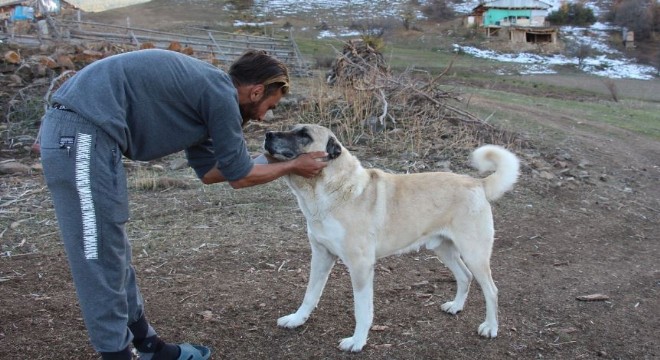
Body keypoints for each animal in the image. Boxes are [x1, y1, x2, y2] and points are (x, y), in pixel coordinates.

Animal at [264, 124, 520, 352]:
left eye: (304, 135)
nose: (267, 135)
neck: (329, 190)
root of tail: (477, 182)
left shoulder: (360, 266)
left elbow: (362, 309)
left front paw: (357, 342)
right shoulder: (320, 257)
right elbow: (309, 295)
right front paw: (297, 320)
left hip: (474, 254)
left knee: (491, 290)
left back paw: (490, 327)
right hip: (444, 249)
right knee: (465, 276)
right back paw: (456, 307)